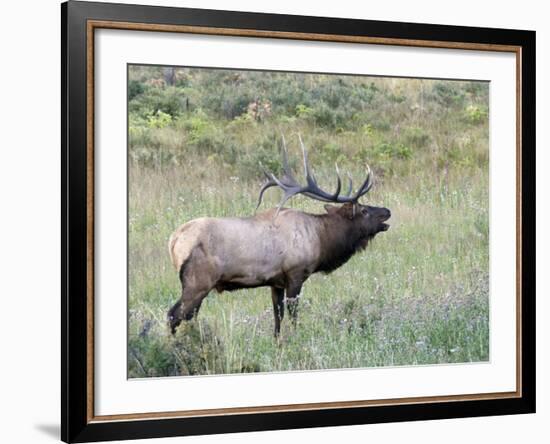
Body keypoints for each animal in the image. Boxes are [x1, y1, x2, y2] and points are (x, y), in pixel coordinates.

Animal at [168, 137, 392, 334]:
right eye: (363, 210)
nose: (387, 211)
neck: (321, 239)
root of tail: (174, 240)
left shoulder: (276, 283)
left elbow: (278, 318)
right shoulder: (295, 274)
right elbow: (293, 317)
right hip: (198, 282)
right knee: (173, 314)